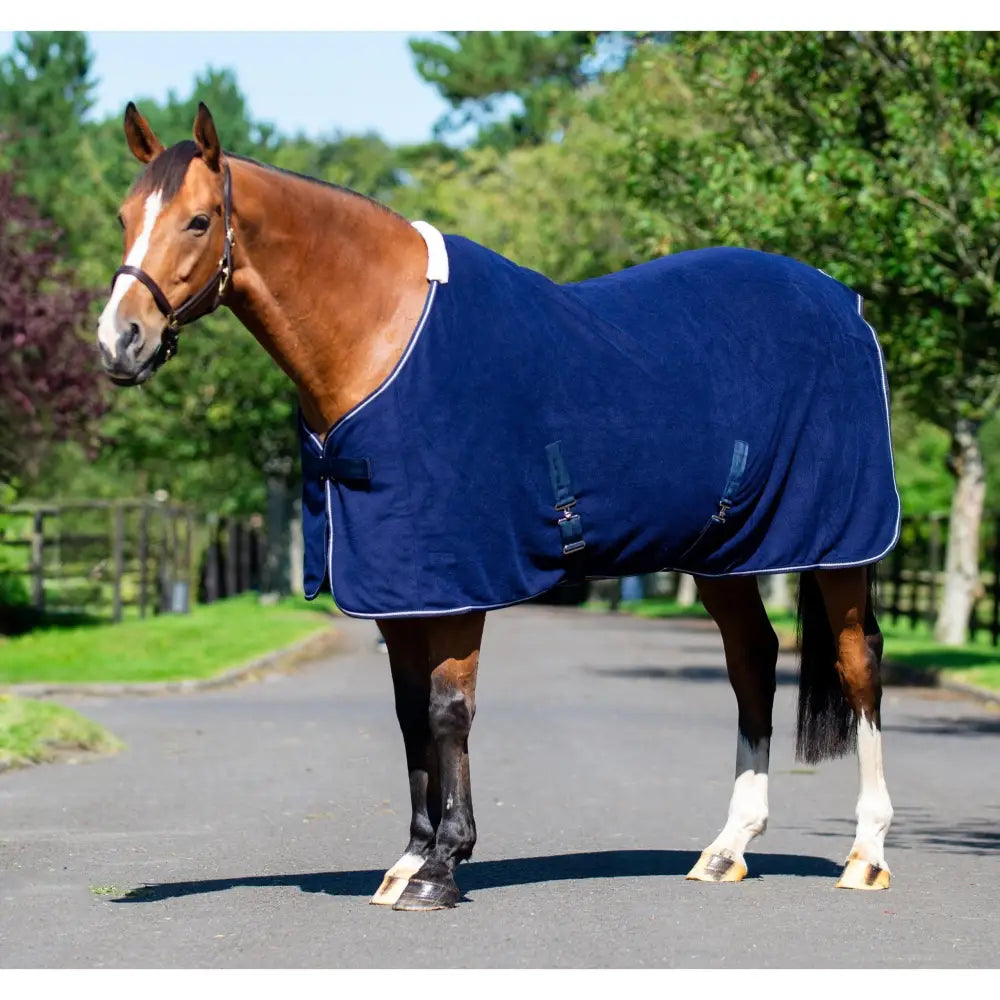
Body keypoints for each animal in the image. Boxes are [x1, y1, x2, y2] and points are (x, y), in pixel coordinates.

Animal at [96, 102, 898, 910]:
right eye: (126, 215)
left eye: (199, 220)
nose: (117, 341)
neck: (383, 335)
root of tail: (847, 304)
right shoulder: (398, 586)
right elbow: (409, 714)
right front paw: (411, 857)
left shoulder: (460, 581)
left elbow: (447, 711)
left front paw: (443, 866)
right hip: (726, 556)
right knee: (752, 661)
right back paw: (728, 846)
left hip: (839, 545)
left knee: (858, 662)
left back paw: (865, 852)